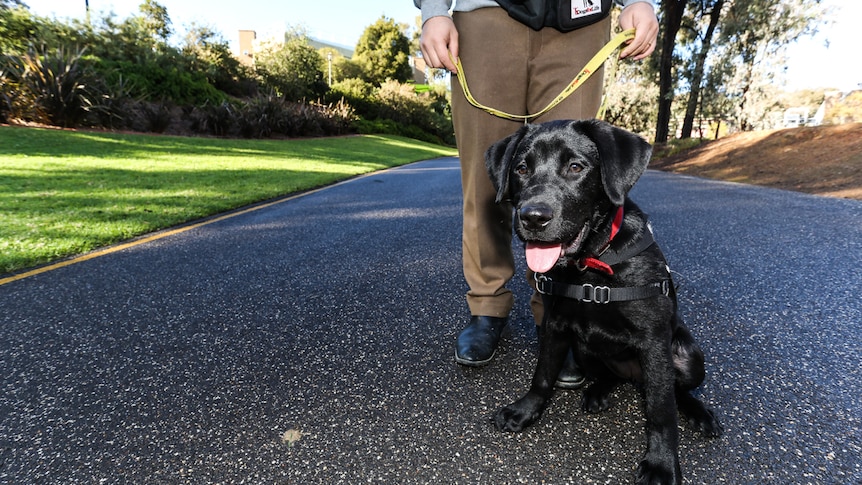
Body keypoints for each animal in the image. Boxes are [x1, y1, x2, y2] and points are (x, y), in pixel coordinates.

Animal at [486, 119, 724, 482]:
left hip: (689, 357)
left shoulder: (655, 342)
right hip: (585, 350)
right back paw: (598, 391)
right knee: (609, 374)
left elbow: (661, 410)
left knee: (677, 391)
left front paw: (661, 462)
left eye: (575, 167)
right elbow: (542, 375)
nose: (533, 217)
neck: (592, 264)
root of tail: (634, 376)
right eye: (521, 169)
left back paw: (699, 412)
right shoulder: (555, 326)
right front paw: (526, 410)